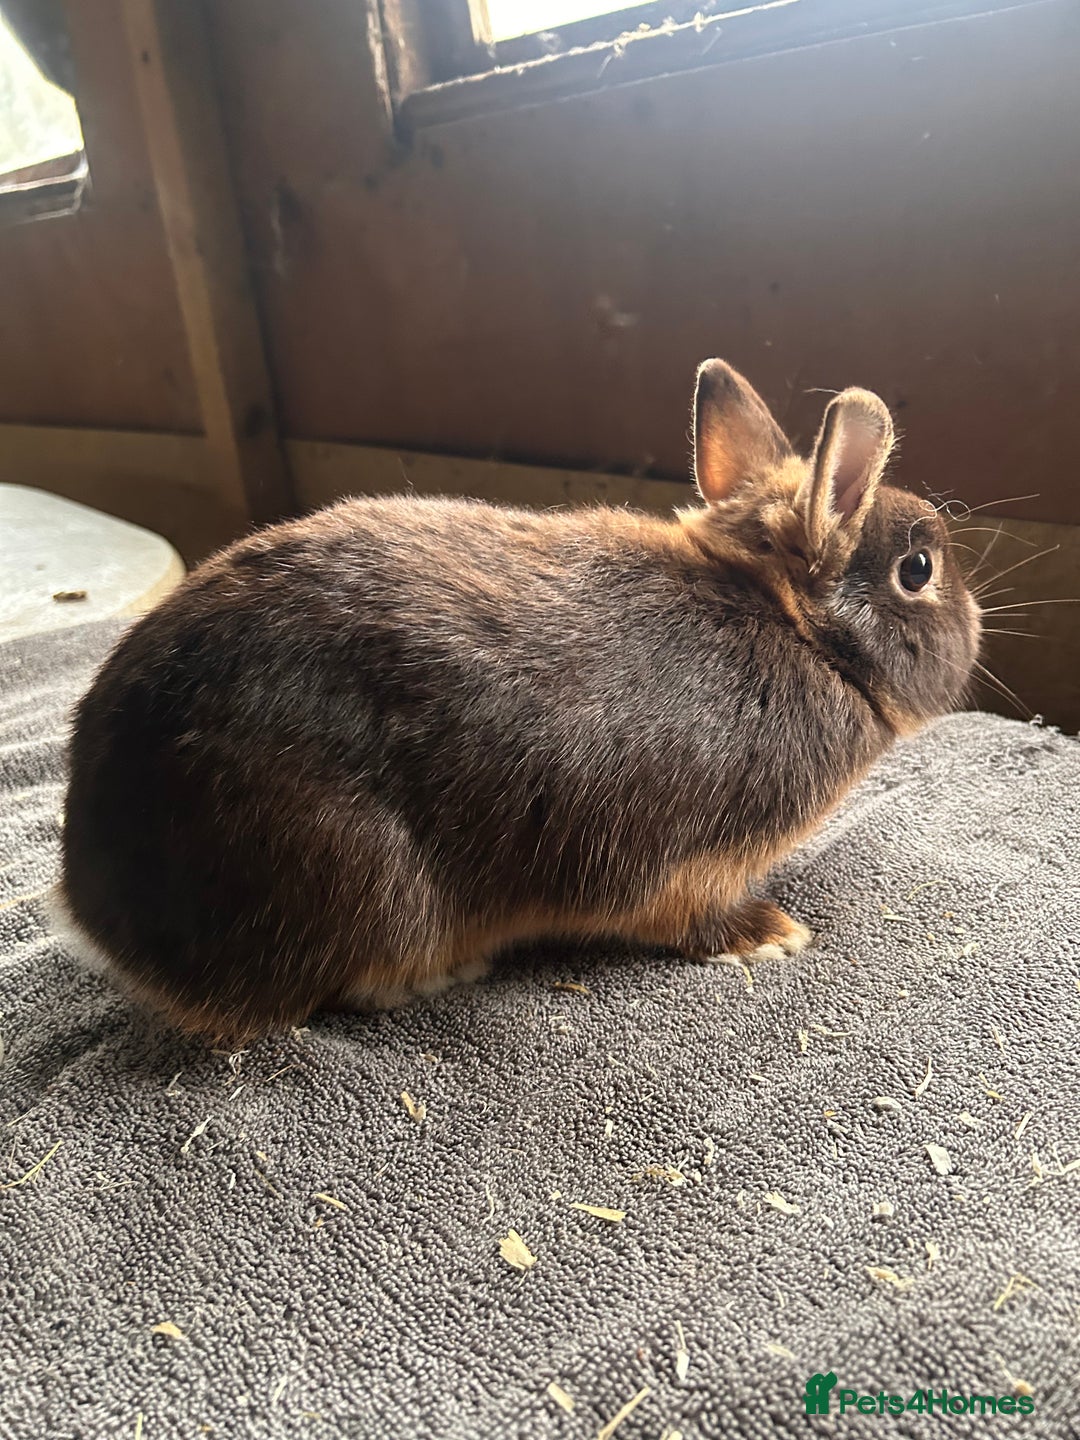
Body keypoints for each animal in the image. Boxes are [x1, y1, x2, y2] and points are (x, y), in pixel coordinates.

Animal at [58, 359, 981, 1042]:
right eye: (919, 570)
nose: (976, 624)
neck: (797, 629)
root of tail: (98, 910)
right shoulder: (686, 859)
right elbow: (687, 915)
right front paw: (770, 934)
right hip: (355, 875)